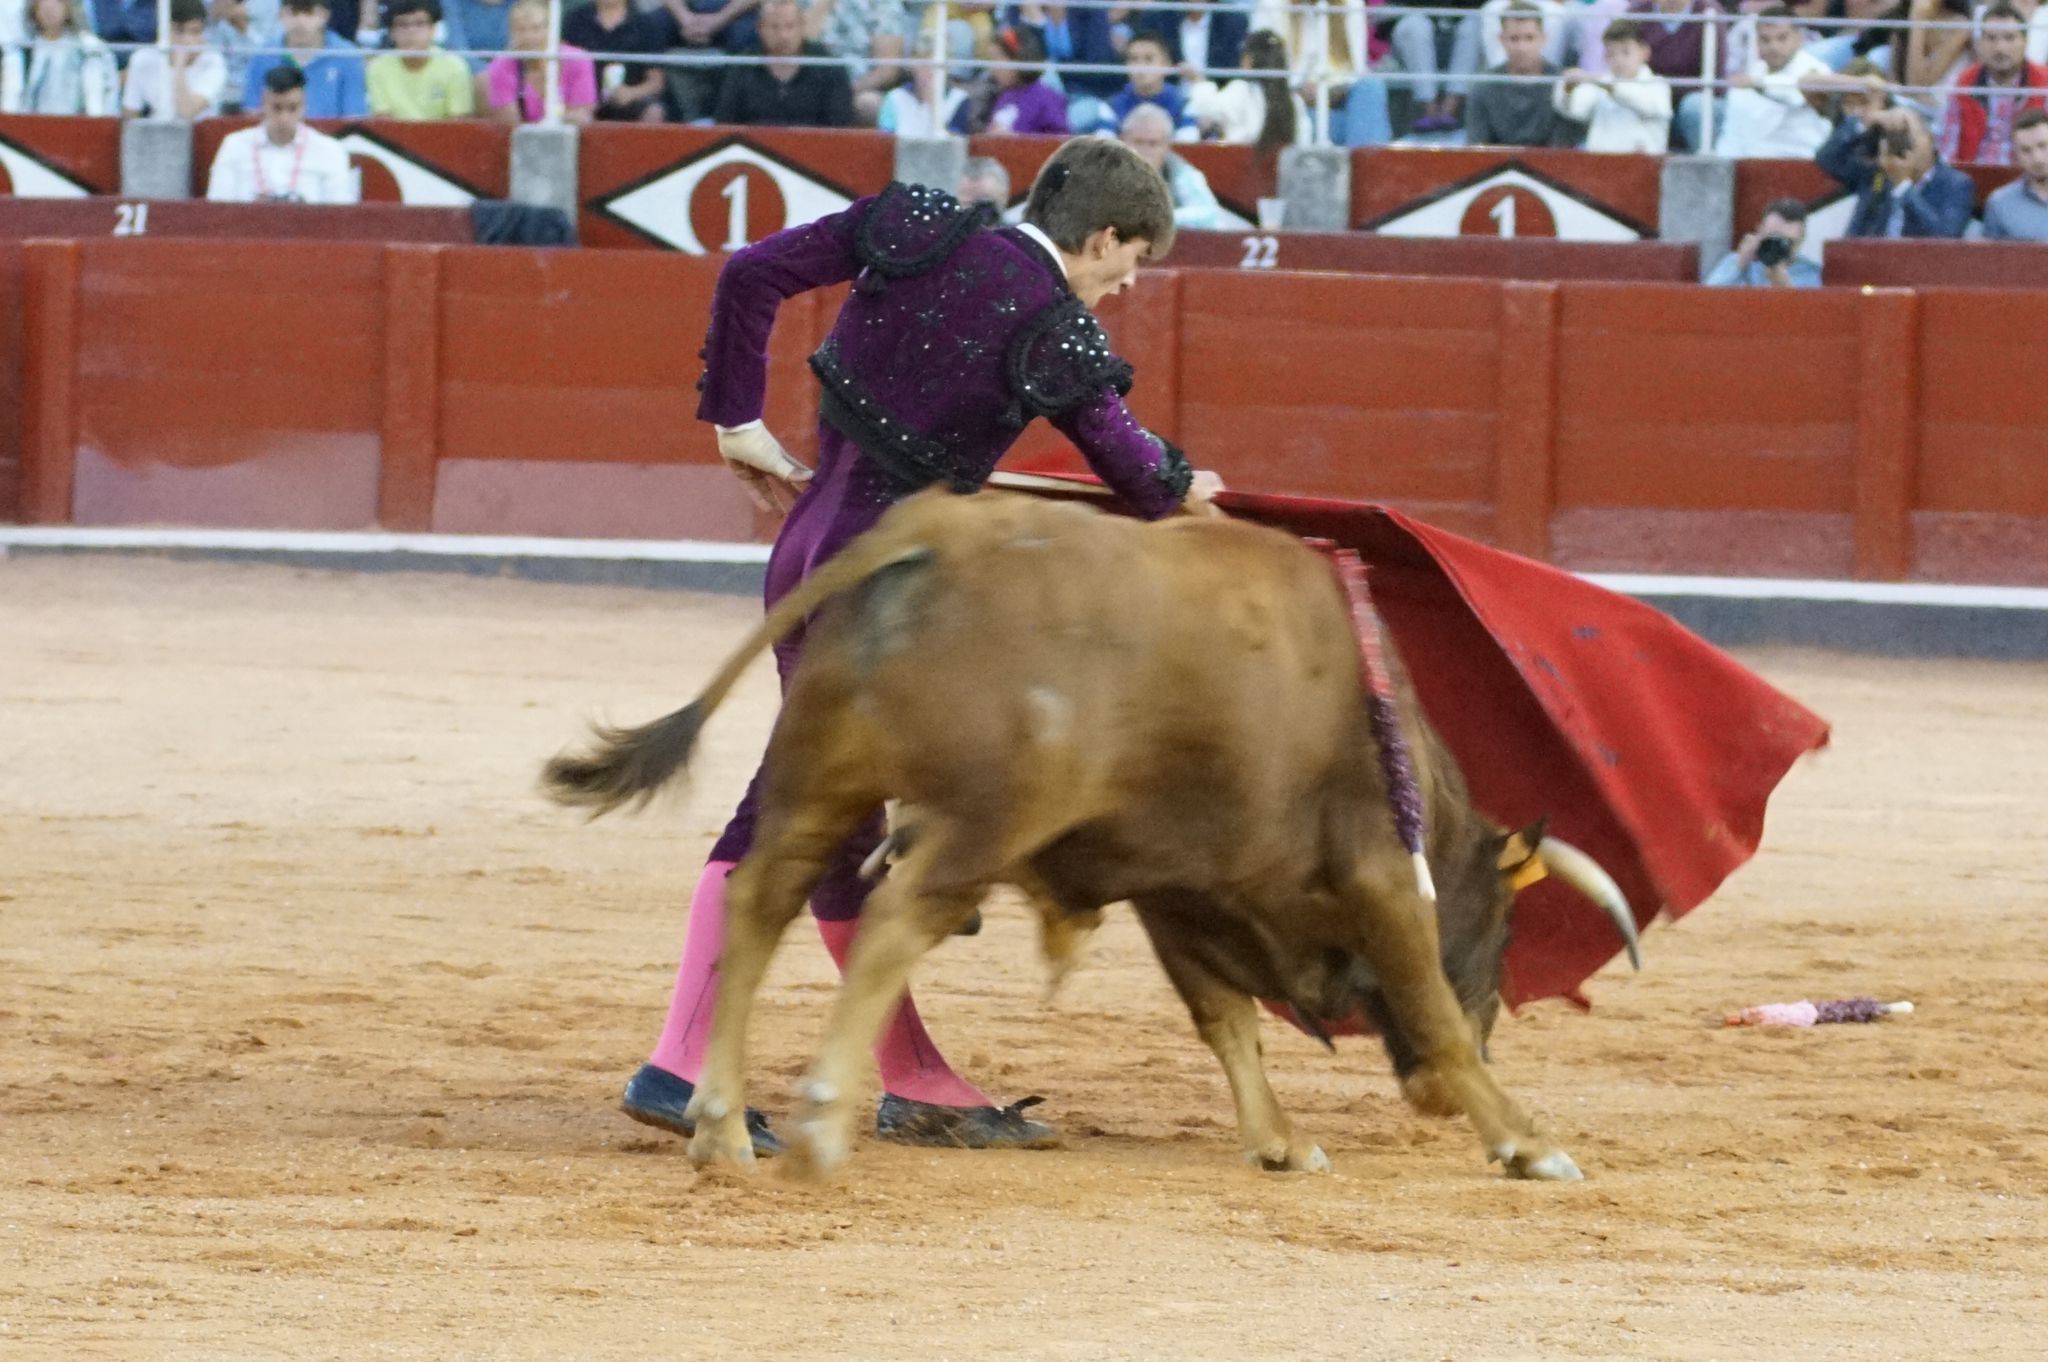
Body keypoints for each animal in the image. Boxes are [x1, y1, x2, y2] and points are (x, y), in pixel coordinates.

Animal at [552, 489, 1638, 1179]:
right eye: (1501, 929)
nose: (1427, 1101)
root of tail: (932, 529)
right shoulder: (1374, 874)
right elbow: (1432, 1014)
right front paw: (1526, 1142)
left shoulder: (1180, 888)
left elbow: (1225, 1021)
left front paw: (1280, 1143)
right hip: (983, 819)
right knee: (891, 922)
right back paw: (817, 1127)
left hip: (816, 782)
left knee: (759, 900)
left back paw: (721, 1131)